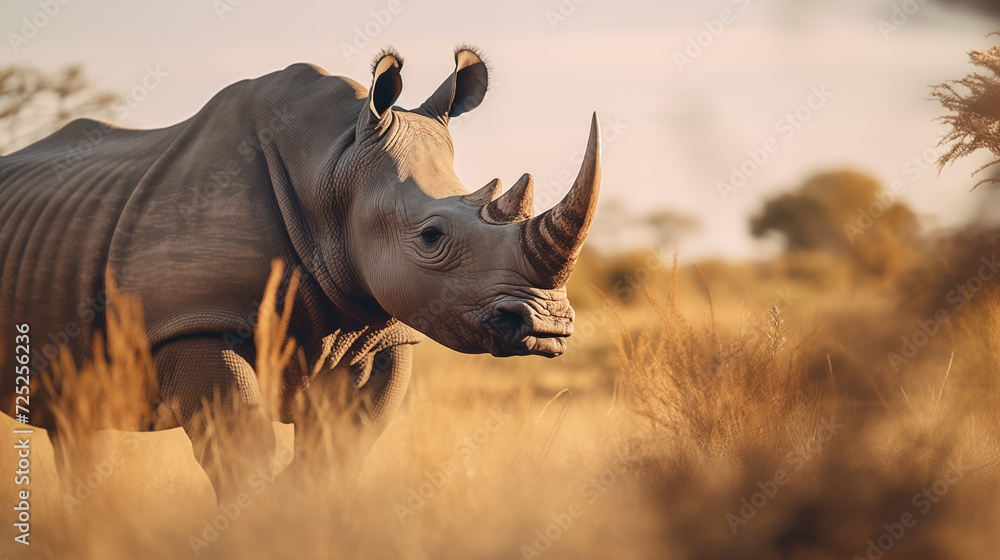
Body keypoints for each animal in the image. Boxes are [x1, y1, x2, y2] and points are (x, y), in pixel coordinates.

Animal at [0, 46, 602, 496]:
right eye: (432, 236)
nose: (547, 325)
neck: (333, 168)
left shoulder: (379, 331)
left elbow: (336, 453)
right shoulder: (192, 319)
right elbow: (241, 451)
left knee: (74, 424)